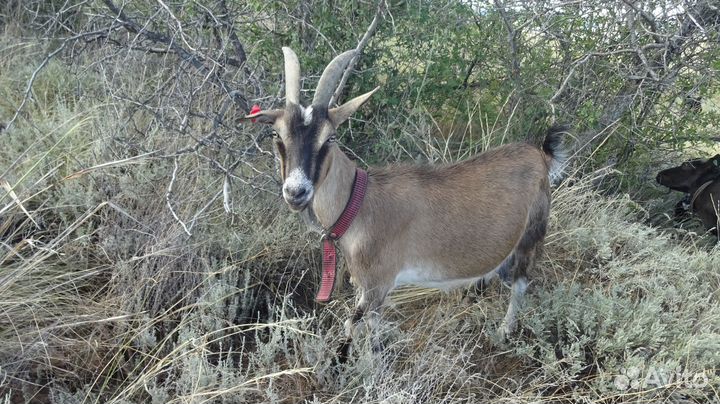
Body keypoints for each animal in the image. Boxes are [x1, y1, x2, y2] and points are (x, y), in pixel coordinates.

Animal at [244, 47, 566, 358]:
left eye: (330, 137)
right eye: (276, 134)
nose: (296, 192)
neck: (359, 202)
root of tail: (539, 155)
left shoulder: (378, 285)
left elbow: (355, 328)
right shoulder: (367, 286)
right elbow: (366, 328)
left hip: (530, 238)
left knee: (521, 284)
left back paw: (503, 332)